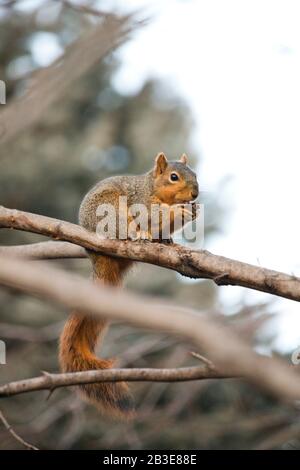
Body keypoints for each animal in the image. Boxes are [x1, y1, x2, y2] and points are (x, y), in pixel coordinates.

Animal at [58, 153, 199, 418]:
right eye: (174, 177)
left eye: (195, 174)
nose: (195, 194)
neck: (153, 188)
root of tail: (95, 256)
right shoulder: (140, 201)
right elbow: (152, 215)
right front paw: (179, 211)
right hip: (111, 211)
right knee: (124, 227)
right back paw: (139, 235)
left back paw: (165, 241)